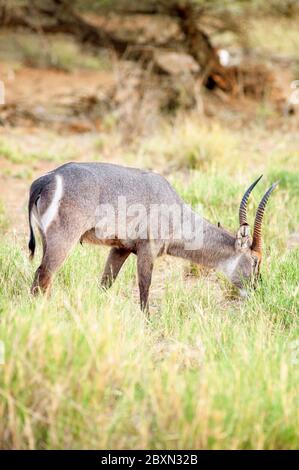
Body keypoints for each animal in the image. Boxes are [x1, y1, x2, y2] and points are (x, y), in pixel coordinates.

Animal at [28, 162, 278, 312]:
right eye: (255, 260)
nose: (257, 291)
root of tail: (47, 179)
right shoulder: (147, 250)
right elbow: (144, 288)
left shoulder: (120, 248)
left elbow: (105, 284)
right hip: (63, 240)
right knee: (43, 276)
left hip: (46, 240)